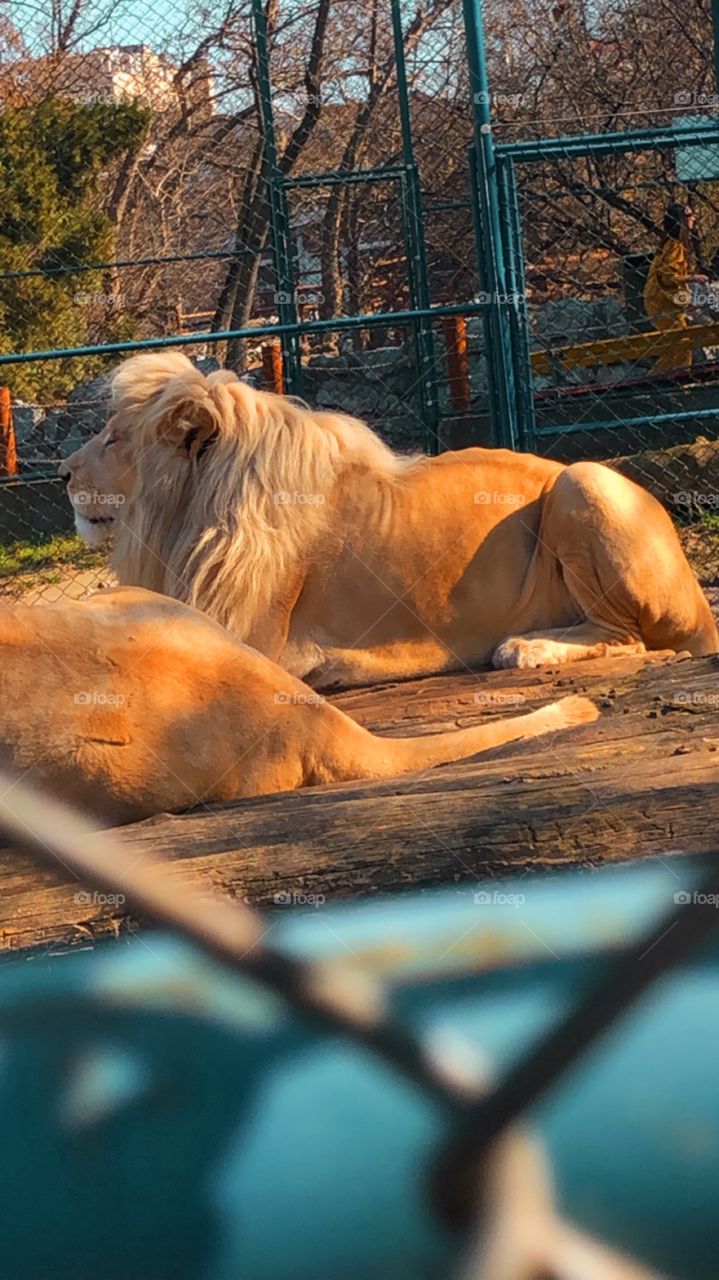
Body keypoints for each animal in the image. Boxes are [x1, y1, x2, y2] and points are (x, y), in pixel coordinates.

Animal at [60, 351, 718, 688]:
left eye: (113, 439)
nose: (62, 474)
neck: (181, 520)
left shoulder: (249, 640)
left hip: (583, 481)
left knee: (631, 639)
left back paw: (527, 648)